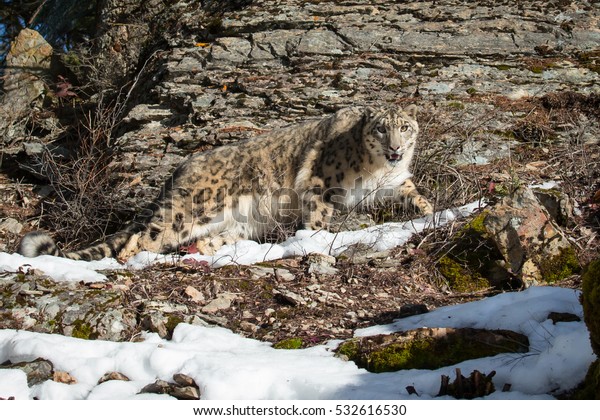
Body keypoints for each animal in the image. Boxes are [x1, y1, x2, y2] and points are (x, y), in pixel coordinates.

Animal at [17, 104, 432, 260]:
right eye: (381, 129)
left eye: (405, 128)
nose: (395, 149)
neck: (376, 170)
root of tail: (180, 169)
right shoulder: (320, 183)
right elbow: (317, 217)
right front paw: (316, 239)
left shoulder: (397, 180)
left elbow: (413, 192)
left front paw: (429, 211)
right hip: (190, 210)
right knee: (141, 238)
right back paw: (136, 260)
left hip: (240, 224)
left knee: (207, 238)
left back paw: (202, 251)